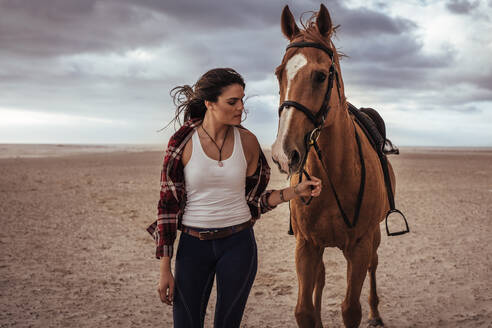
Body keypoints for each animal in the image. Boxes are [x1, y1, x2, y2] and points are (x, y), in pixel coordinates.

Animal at [270, 3, 398, 326]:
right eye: (279, 74)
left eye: (320, 76)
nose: (284, 153)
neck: (334, 175)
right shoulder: (306, 245)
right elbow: (303, 309)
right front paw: (313, 314)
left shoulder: (360, 246)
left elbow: (350, 309)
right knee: (321, 277)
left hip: (373, 238)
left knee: (373, 265)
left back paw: (375, 312)